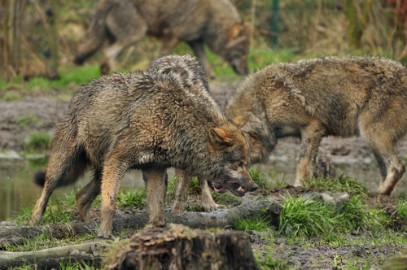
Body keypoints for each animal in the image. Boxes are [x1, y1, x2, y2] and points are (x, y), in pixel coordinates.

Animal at [31, 55, 258, 238]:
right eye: (239, 163)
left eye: (246, 163)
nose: (255, 186)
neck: (171, 121)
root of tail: (81, 89)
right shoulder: (118, 160)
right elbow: (110, 203)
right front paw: (105, 234)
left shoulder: (154, 169)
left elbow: (158, 209)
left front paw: (159, 230)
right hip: (64, 166)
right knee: (46, 191)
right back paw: (35, 221)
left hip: (100, 172)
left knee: (80, 196)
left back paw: (86, 224)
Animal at [75, 0, 250, 76]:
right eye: (242, 52)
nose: (247, 72)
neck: (211, 15)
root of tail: (103, 3)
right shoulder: (171, 36)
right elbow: (160, 59)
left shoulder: (195, 41)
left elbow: (205, 64)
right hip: (136, 36)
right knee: (107, 53)